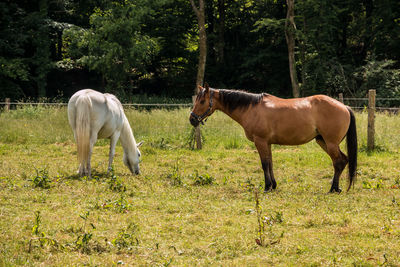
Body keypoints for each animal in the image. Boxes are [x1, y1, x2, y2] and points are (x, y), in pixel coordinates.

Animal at [189, 84, 358, 193]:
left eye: (202, 101)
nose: (192, 119)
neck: (251, 108)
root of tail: (344, 107)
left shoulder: (261, 141)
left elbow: (264, 164)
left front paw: (267, 187)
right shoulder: (267, 143)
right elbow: (270, 163)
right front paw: (273, 186)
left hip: (330, 143)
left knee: (338, 162)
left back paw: (333, 189)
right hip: (322, 141)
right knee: (343, 160)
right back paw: (336, 188)